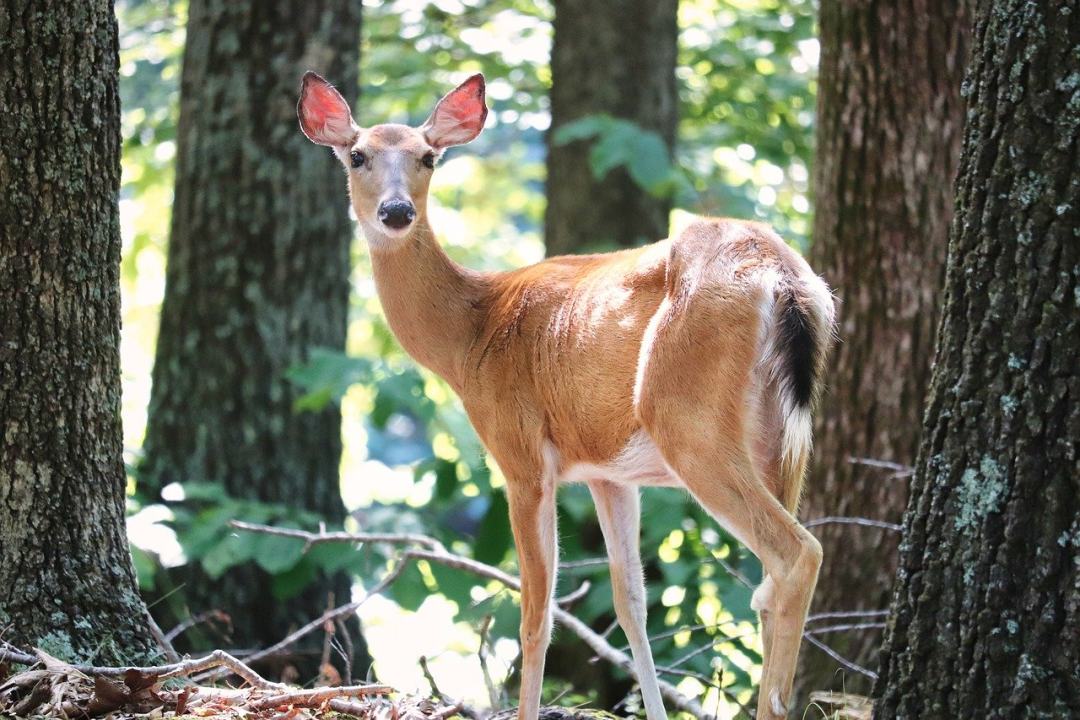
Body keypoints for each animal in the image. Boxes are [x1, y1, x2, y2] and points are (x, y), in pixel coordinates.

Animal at [300, 71, 838, 720]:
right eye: (357, 155)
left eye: (428, 157)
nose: (397, 210)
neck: (472, 332)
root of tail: (781, 277)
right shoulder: (609, 473)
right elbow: (630, 603)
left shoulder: (521, 453)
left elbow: (537, 612)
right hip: (784, 438)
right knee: (767, 579)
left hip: (688, 417)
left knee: (795, 555)